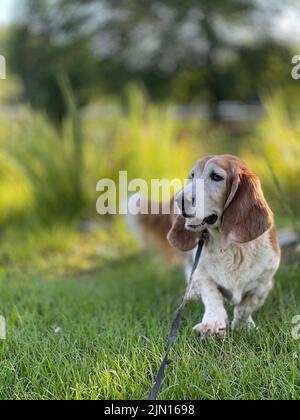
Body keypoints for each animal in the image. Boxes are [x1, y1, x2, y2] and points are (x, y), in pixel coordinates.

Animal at [132, 154, 280, 338]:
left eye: (216, 176)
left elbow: (246, 306)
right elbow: (212, 297)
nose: (179, 200)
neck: (230, 248)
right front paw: (212, 324)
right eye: (192, 176)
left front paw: (243, 325)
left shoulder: (264, 281)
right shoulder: (203, 274)